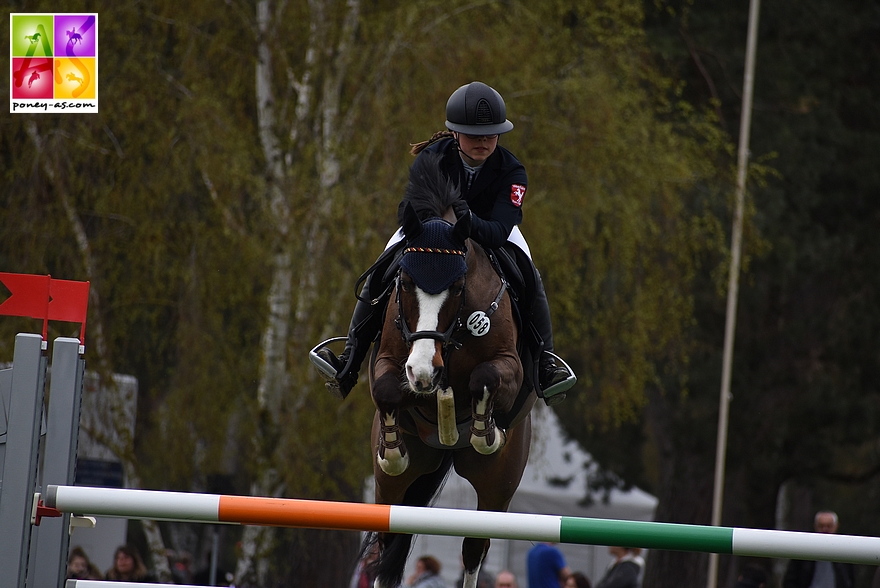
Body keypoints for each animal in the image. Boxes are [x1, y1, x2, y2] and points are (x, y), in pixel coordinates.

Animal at [360, 154, 536, 588]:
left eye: (458, 286)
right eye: (405, 281)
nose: (424, 372)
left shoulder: (509, 367)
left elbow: (485, 378)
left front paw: (483, 429)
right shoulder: (389, 361)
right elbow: (387, 391)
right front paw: (392, 448)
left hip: (497, 483)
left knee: (475, 547)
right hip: (396, 486)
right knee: (390, 539)